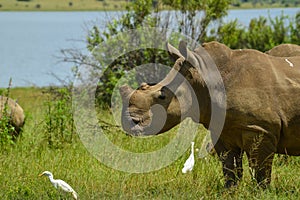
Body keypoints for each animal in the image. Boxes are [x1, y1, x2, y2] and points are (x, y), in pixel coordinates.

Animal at [120, 40, 300, 188]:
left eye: (162, 97)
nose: (130, 122)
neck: (204, 76)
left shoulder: (260, 129)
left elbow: (260, 172)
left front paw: (261, 192)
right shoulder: (223, 129)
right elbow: (230, 169)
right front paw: (230, 192)